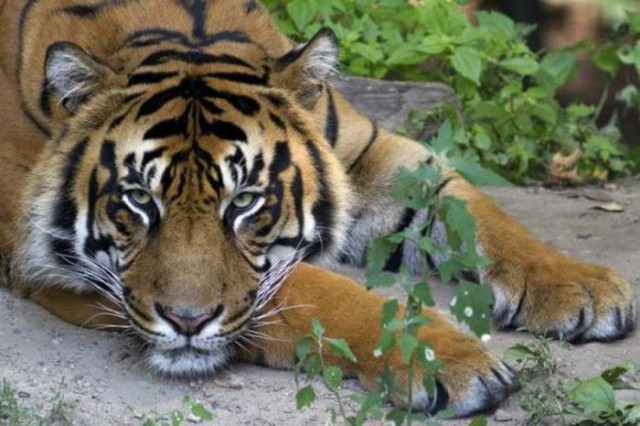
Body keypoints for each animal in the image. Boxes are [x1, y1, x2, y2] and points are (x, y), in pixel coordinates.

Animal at [0, 0, 635, 418]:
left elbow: (472, 206)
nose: (185, 322)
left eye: (245, 201)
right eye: (138, 199)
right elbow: (307, 288)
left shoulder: (367, 153)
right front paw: (445, 357)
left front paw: (578, 285)